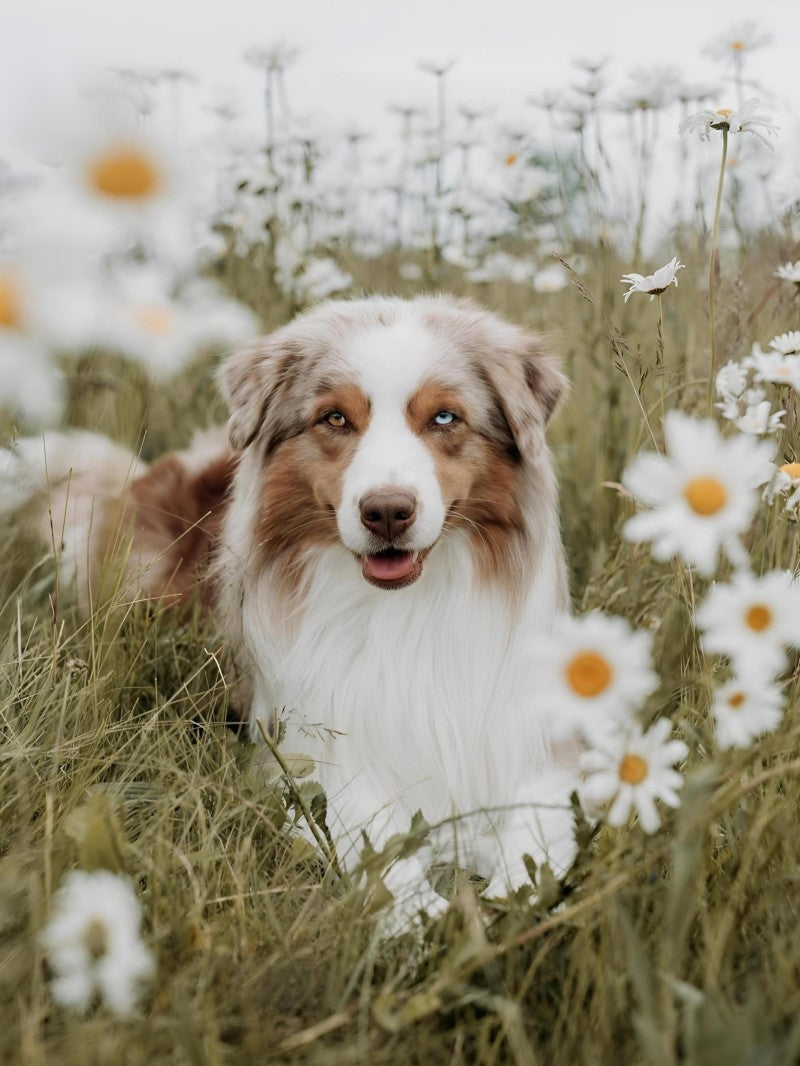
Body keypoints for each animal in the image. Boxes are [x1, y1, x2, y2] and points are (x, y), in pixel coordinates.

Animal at [4, 296, 584, 921]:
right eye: (334, 419)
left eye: (445, 418)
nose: (386, 512)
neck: (404, 610)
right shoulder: (311, 757)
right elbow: (378, 839)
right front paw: (418, 912)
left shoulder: (531, 744)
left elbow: (538, 835)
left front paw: (513, 895)